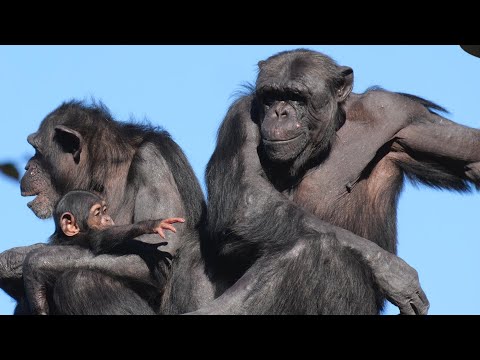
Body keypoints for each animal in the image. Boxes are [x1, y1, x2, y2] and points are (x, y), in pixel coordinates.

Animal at [0, 100, 215, 316]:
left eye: (37, 150)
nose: (28, 166)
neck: (101, 170)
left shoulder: (152, 163)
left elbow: (150, 257)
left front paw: (28, 259)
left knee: (81, 282)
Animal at [191, 48, 480, 316]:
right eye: (270, 96)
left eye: (296, 97)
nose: (280, 112)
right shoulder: (240, 116)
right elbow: (247, 198)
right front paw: (391, 269)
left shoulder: (403, 115)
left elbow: (470, 156)